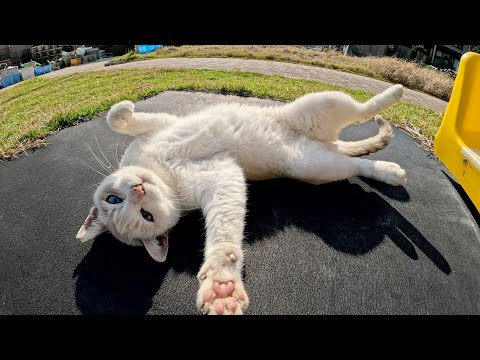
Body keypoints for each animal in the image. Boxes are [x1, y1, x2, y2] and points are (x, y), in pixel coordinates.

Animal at [75, 84, 404, 316]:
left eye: (113, 199)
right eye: (146, 216)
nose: (139, 189)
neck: (160, 171)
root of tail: (327, 144)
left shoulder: (163, 123)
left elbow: (116, 117)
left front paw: (126, 109)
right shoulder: (224, 176)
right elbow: (225, 240)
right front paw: (223, 284)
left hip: (319, 104)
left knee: (360, 111)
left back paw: (393, 95)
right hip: (316, 166)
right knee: (357, 162)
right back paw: (390, 173)